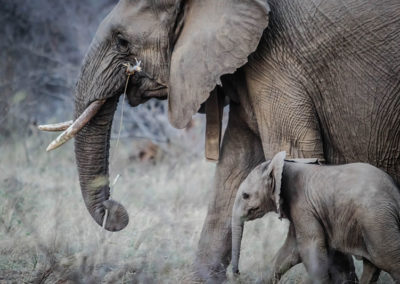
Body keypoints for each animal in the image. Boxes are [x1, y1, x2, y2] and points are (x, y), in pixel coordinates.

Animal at [231, 151, 400, 282]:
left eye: (245, 195)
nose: (237, 272)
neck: (284, 165)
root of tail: (395, 191)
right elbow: (290, 252)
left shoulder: (303, 206)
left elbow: (311, 248)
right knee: (373, 265)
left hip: (376, 219)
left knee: (388, 260)